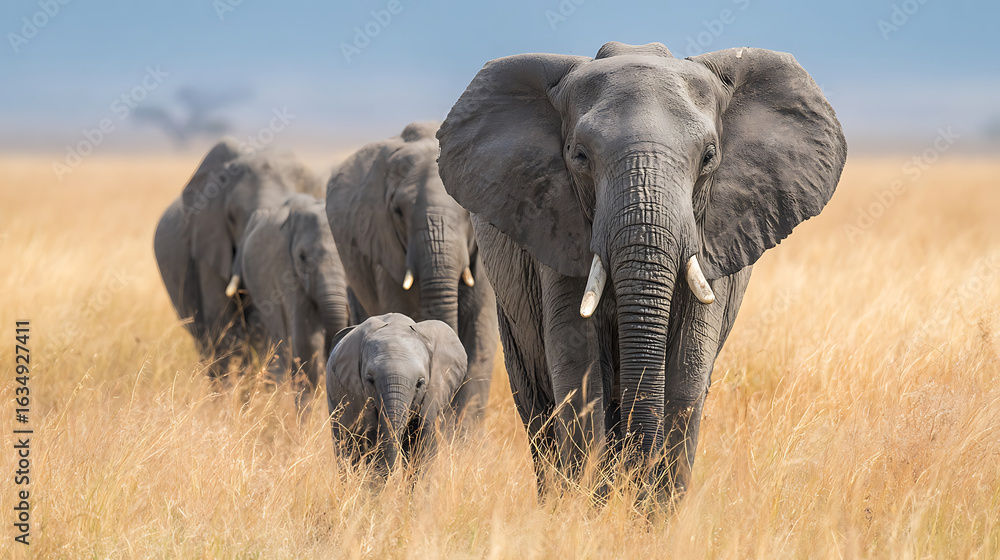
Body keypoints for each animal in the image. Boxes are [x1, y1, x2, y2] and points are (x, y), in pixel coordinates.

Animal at [436, 42, 847, 500]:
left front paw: (649, 510)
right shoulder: (556, 223)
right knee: (536, 401)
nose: (635, 479)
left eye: (709, 157)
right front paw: (591, 507)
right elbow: (579, 368)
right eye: (579, 156)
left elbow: (687, 370)